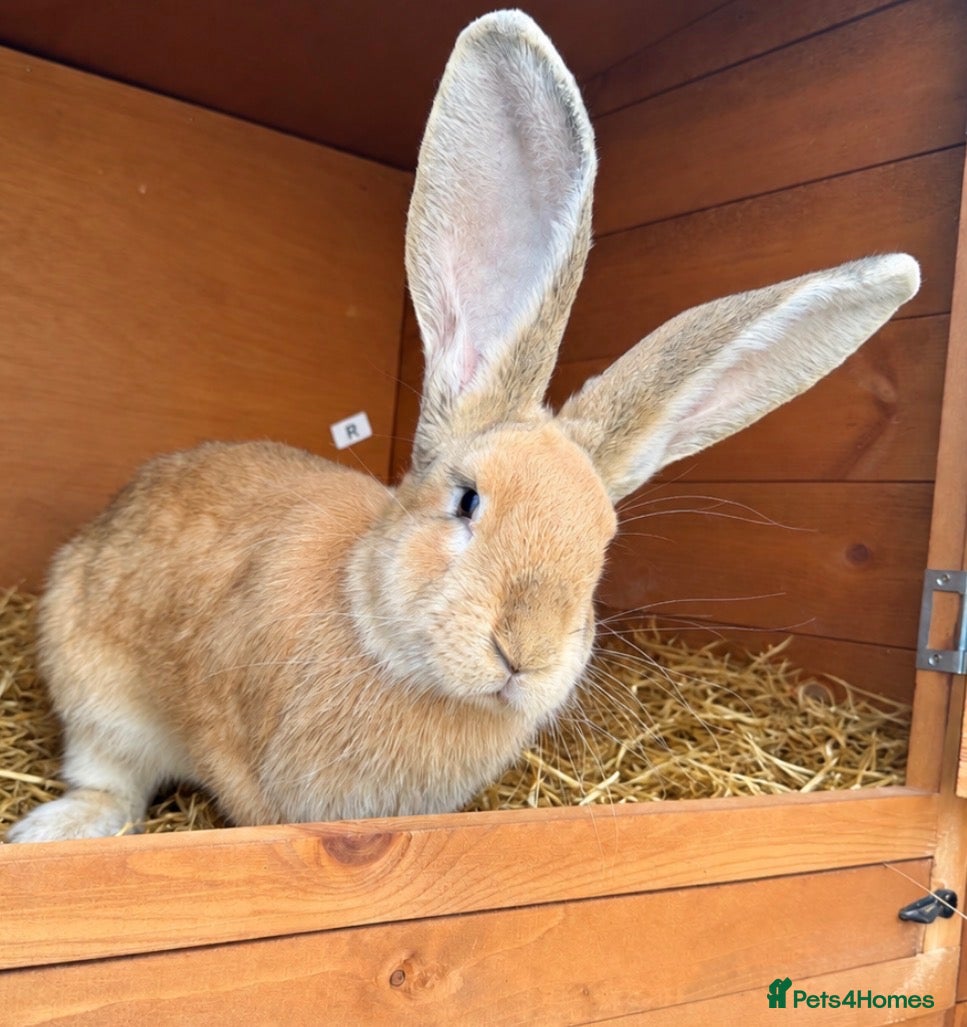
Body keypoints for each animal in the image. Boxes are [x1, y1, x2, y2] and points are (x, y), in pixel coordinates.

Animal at [7, 9, 920, 842]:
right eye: (467, 500)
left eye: (602, 546)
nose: (525, 651)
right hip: (88, 676)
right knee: (109, 777)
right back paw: (53, 830)